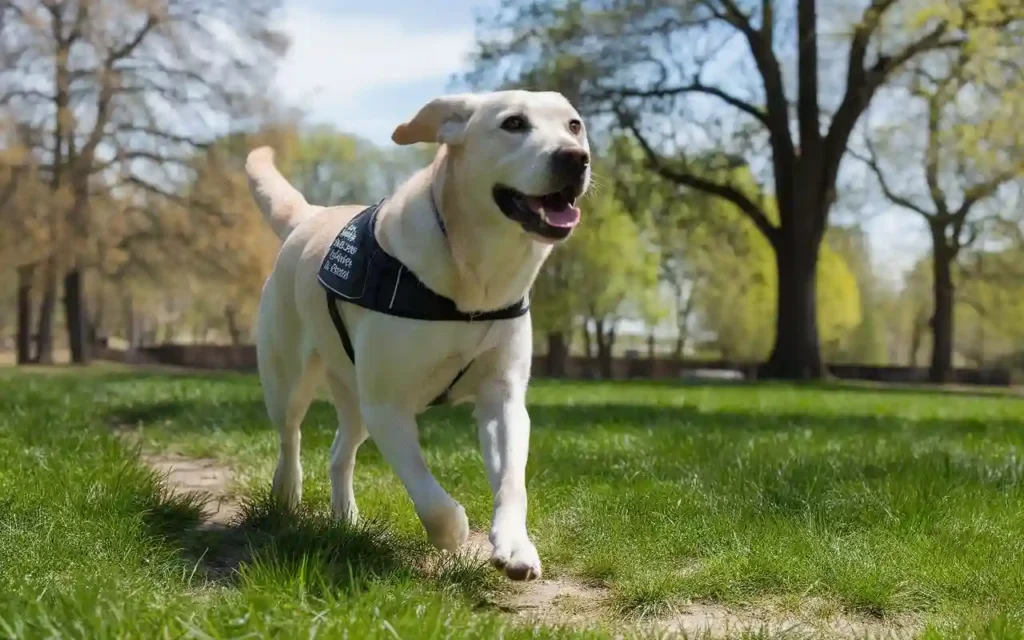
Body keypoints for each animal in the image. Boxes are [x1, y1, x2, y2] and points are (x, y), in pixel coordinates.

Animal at [242, 88, 589, 577]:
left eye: (574, 125)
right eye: (514, 124)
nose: (574, 158)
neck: (476, 278)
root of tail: (311, 216)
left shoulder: (502, 397)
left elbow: (511, 483)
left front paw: (516, 546)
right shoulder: (388, 405)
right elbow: (425, 488)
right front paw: (453, 531)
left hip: (354, 398)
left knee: (339, 453)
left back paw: (346, 517)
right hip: (289, 377)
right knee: (290, 436)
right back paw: (287, 492)